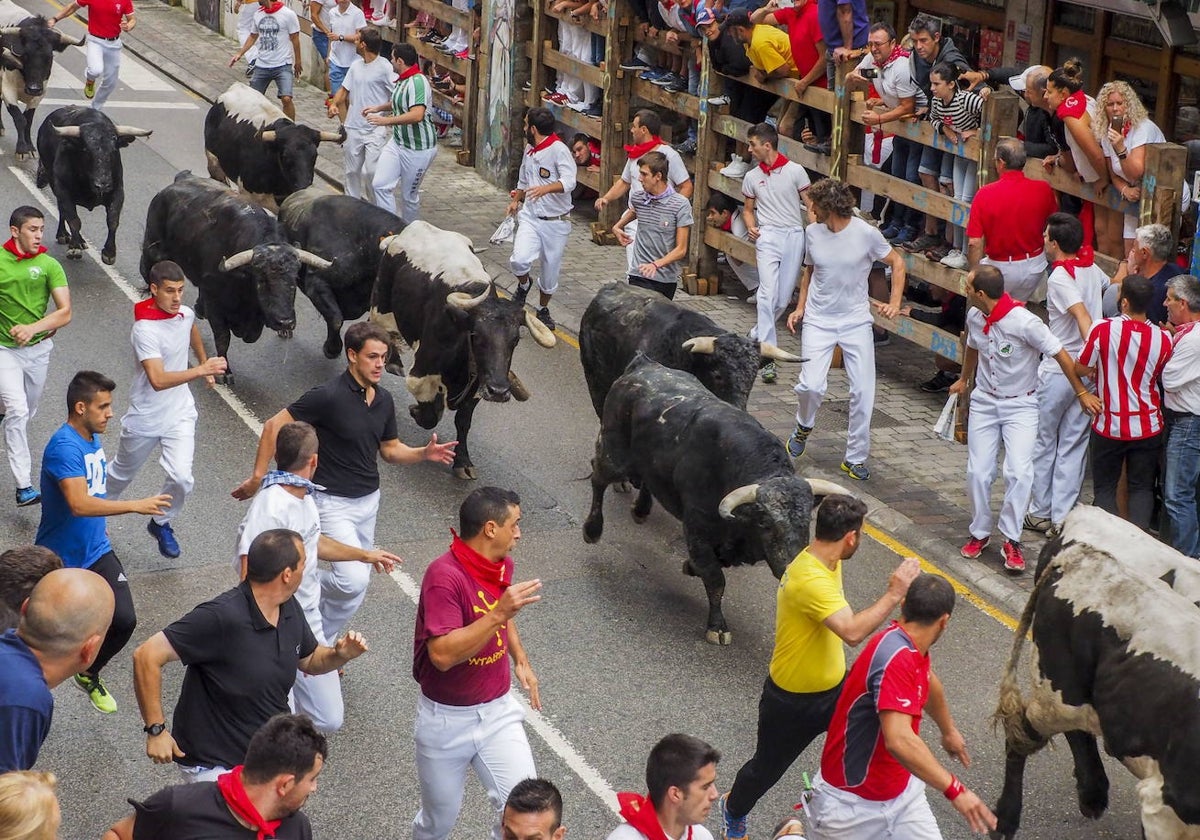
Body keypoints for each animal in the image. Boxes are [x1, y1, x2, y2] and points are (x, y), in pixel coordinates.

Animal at [35, 105, 150, 262]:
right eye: (86, 150)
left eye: (114, 150)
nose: (102, 185)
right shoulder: (63, 190)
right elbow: (74, 219)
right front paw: (74, 247)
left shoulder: (118, 191)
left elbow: (113, 220)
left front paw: (109, 252)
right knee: (63, 211)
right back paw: (64, 235)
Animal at [369, 222, 556, 480]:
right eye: (476, 336)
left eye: (515, 340)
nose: (499, 391)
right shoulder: (421, 373)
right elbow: (430, 416)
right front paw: (419, 410)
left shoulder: (477, 385)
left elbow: (463, 421)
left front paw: (463, 461)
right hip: (381, 304)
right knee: (380, 329)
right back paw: (393, 361)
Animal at [580, 352, 844, 643]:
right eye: (765, 523)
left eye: (806, 520)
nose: (792, 566)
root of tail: (643, 364)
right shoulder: (697, 528)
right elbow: (716, 579)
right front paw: (717, 626)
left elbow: (710, 567)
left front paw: (690, 567)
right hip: (614, 455)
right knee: (598, 478)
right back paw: (592, 530)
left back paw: (640, 510)